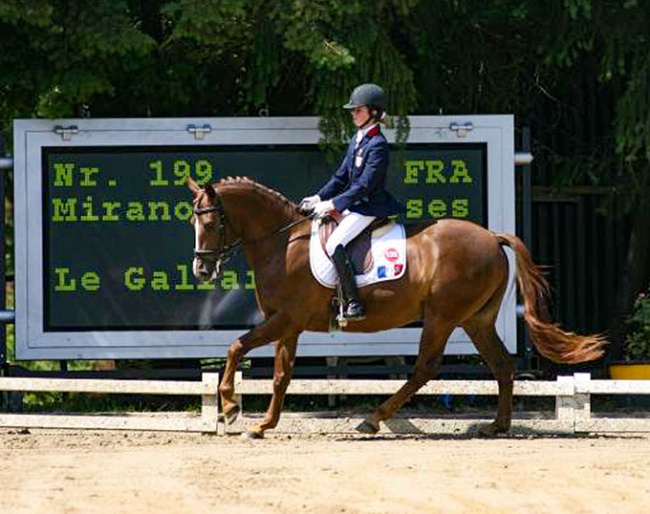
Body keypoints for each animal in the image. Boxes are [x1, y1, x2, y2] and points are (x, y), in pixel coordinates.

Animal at [186, 175, 604, 436]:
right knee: (501, 364)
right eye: (193, 221)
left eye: (212, 222)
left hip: (442, 317)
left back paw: (374, 419)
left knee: (425, 368)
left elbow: (235, 346)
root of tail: (491, 236)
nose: (201, 269)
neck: (282, 244)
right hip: (476, 320)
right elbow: (280, 375)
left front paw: (229, 408)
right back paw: (497, 426)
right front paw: (263, 425)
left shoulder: (285, 319)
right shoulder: (285, 324)